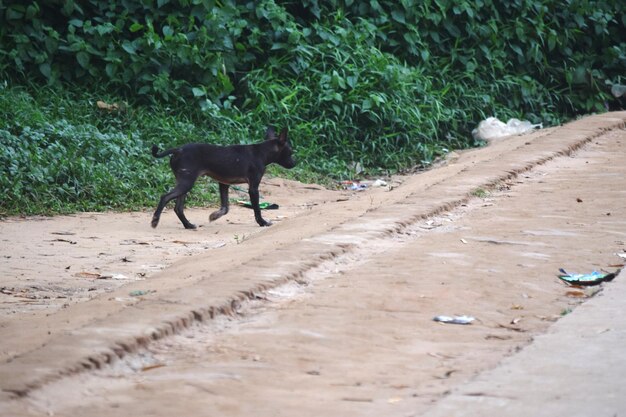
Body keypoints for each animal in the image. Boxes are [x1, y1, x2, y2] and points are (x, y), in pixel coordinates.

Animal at [152, 127, 296, 229]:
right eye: (290, 152)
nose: (294, 163)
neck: (262, 152)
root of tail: (178, 150)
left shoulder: (224, 184)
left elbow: (225, 208)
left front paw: (214, 216)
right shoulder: (253, 188)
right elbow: (257, 209)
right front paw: (262, 222)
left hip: (184, 182)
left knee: (178, 208)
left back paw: (188, 225)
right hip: (187, 182)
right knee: (165, 197)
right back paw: (155, 220)